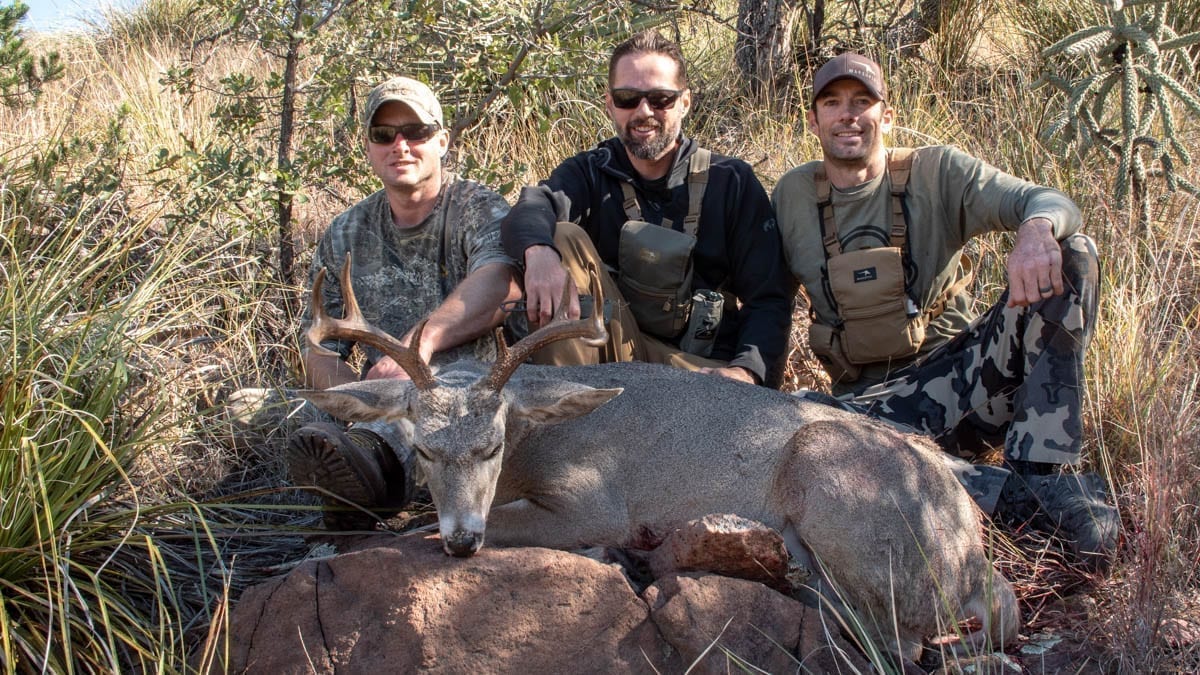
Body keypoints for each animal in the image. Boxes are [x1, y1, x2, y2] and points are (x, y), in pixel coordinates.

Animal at [300, 253, 1022, 658]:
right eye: (423, 449)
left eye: (493, 444)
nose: (462, 542)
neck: (536, 440)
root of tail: (965, 536)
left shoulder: (593, 499)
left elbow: (457, 526)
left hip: (834, 477)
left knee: (901, 635)